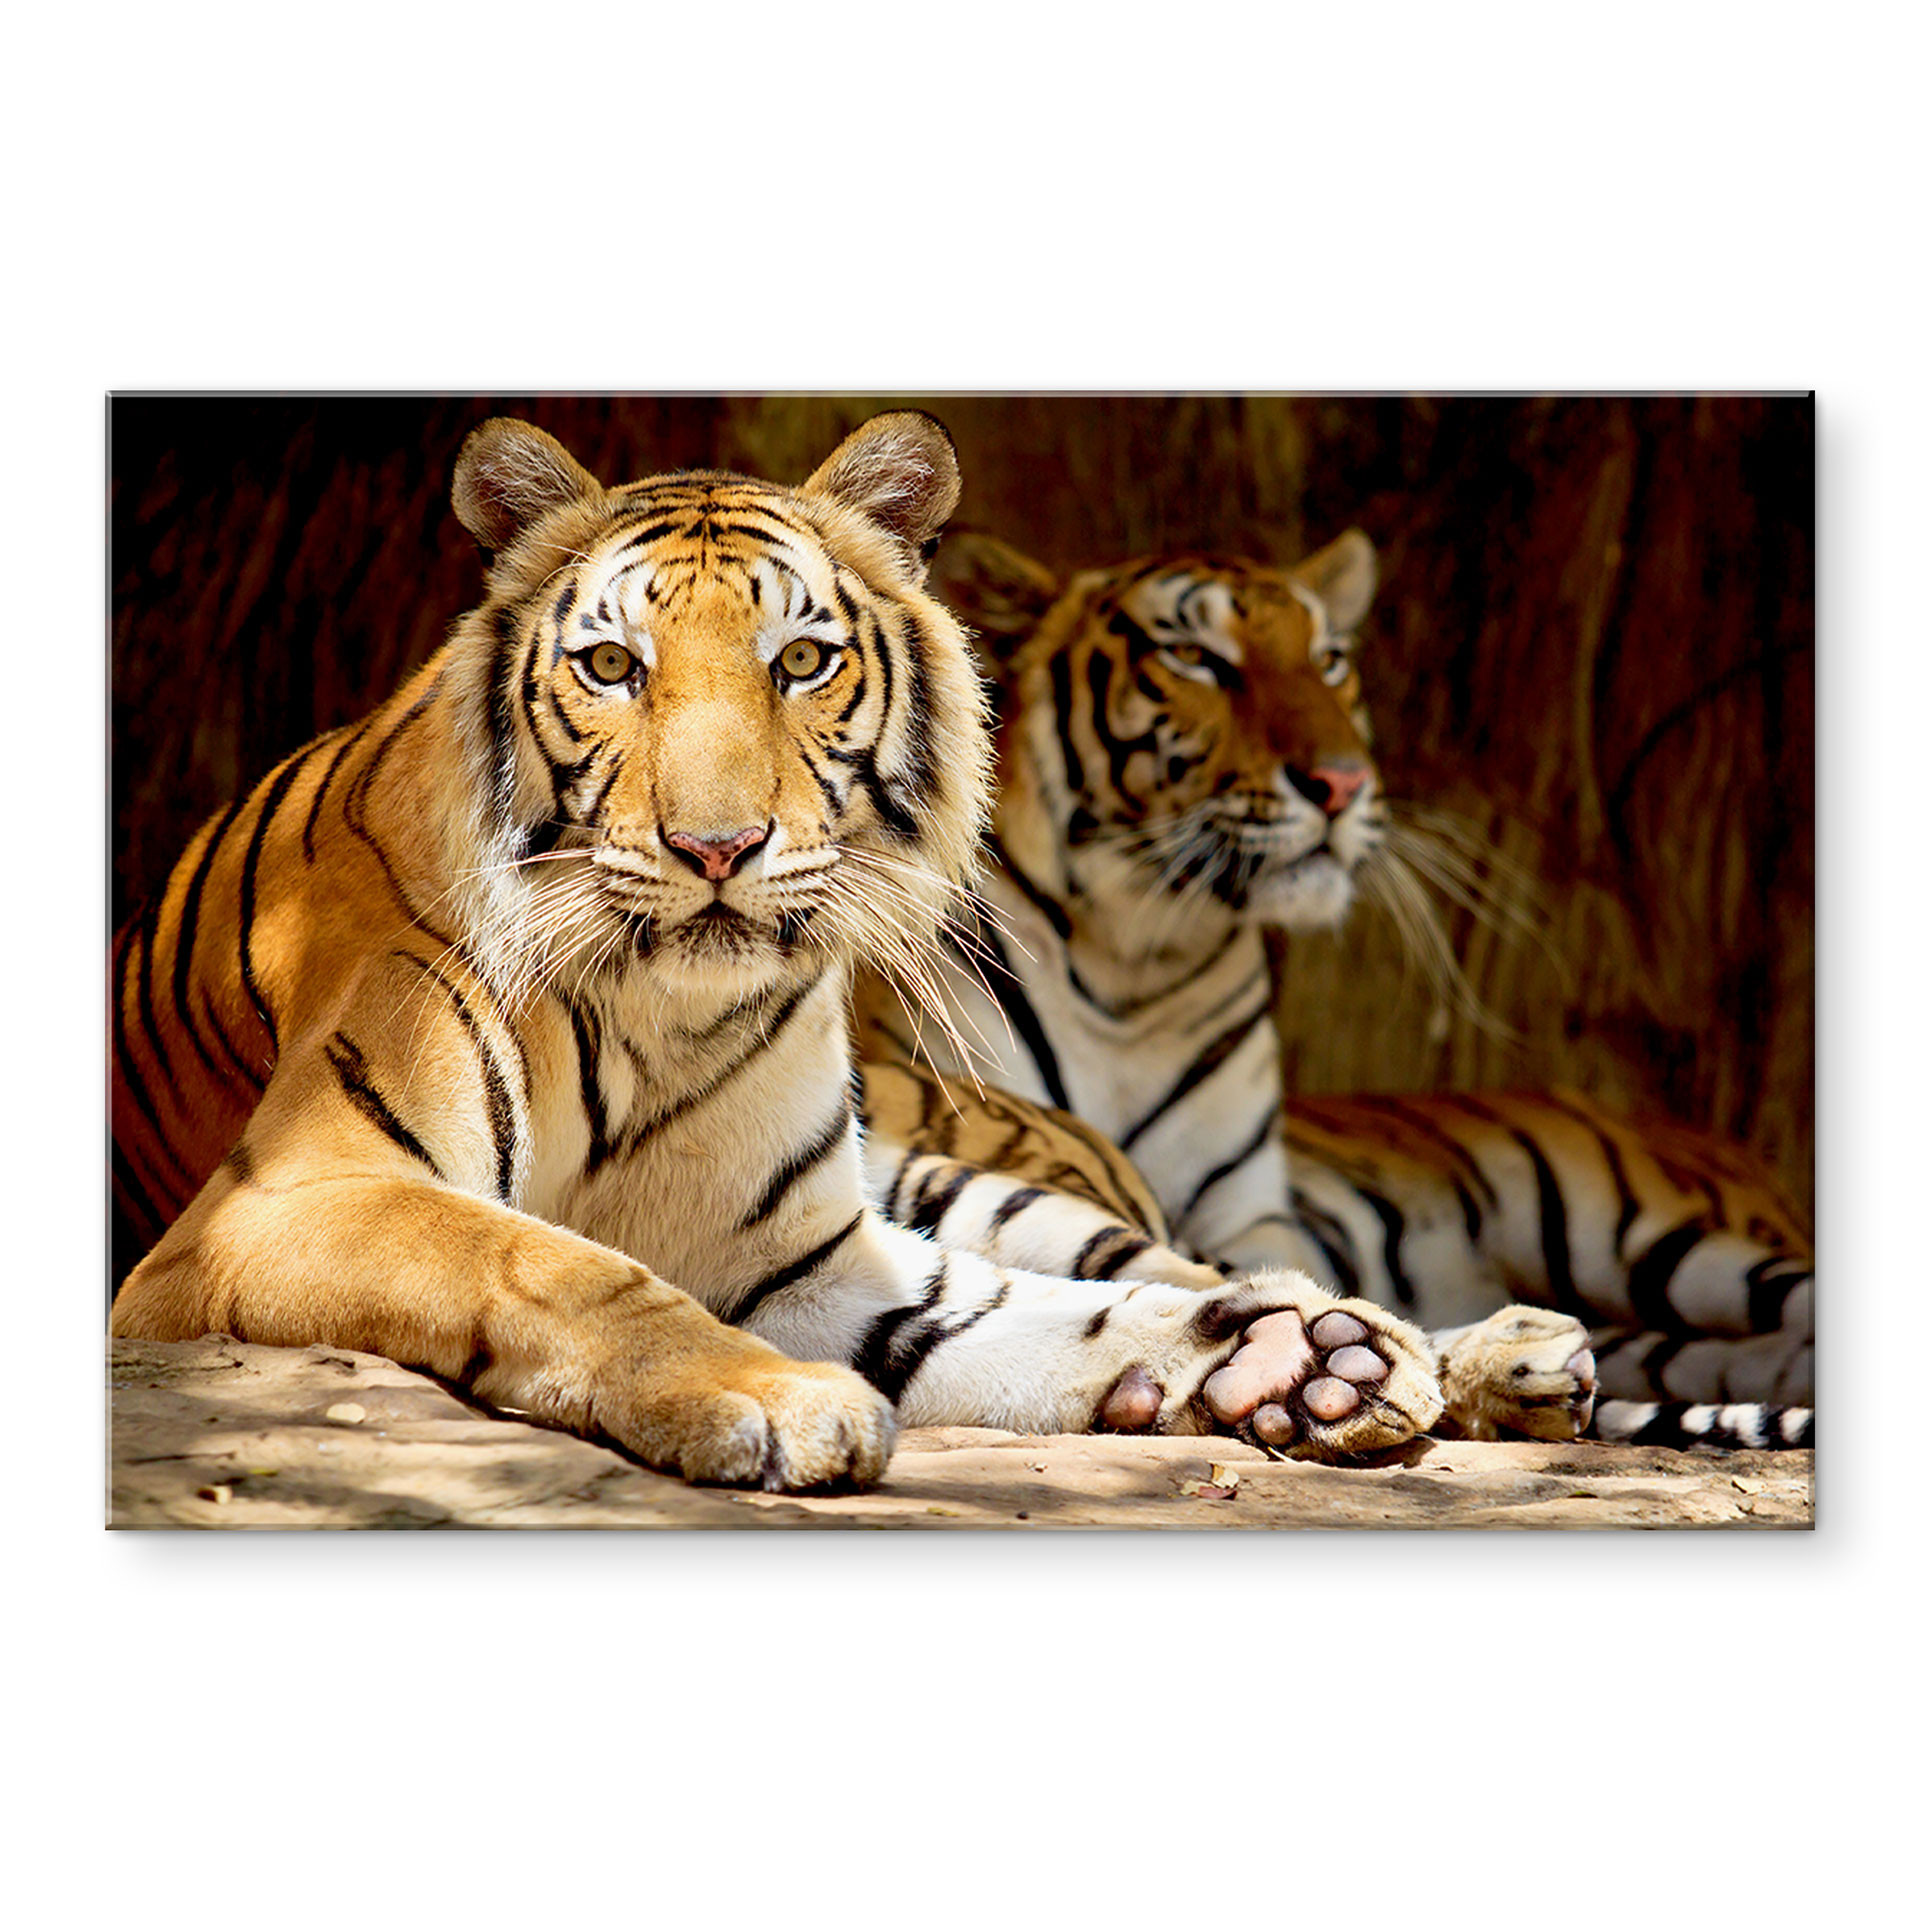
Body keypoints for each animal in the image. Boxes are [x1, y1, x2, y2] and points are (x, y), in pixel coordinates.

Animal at [109, 411, 1452, 1494]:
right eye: (612, 667)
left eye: (801, 661)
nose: (717, 847)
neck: (659, 1012)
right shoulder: (285, 1199)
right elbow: (551, 1261)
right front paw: (775, 1398)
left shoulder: (808, 1263)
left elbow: (1018, 1317)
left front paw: (1286, 1359)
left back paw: (1351, 1340)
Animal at [855, 526, 1813, 1451]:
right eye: (1196, 657)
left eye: (1329, 661)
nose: (1342, 783)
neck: (1140, 961)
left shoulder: (1250, 1215)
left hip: (1662, 1240)